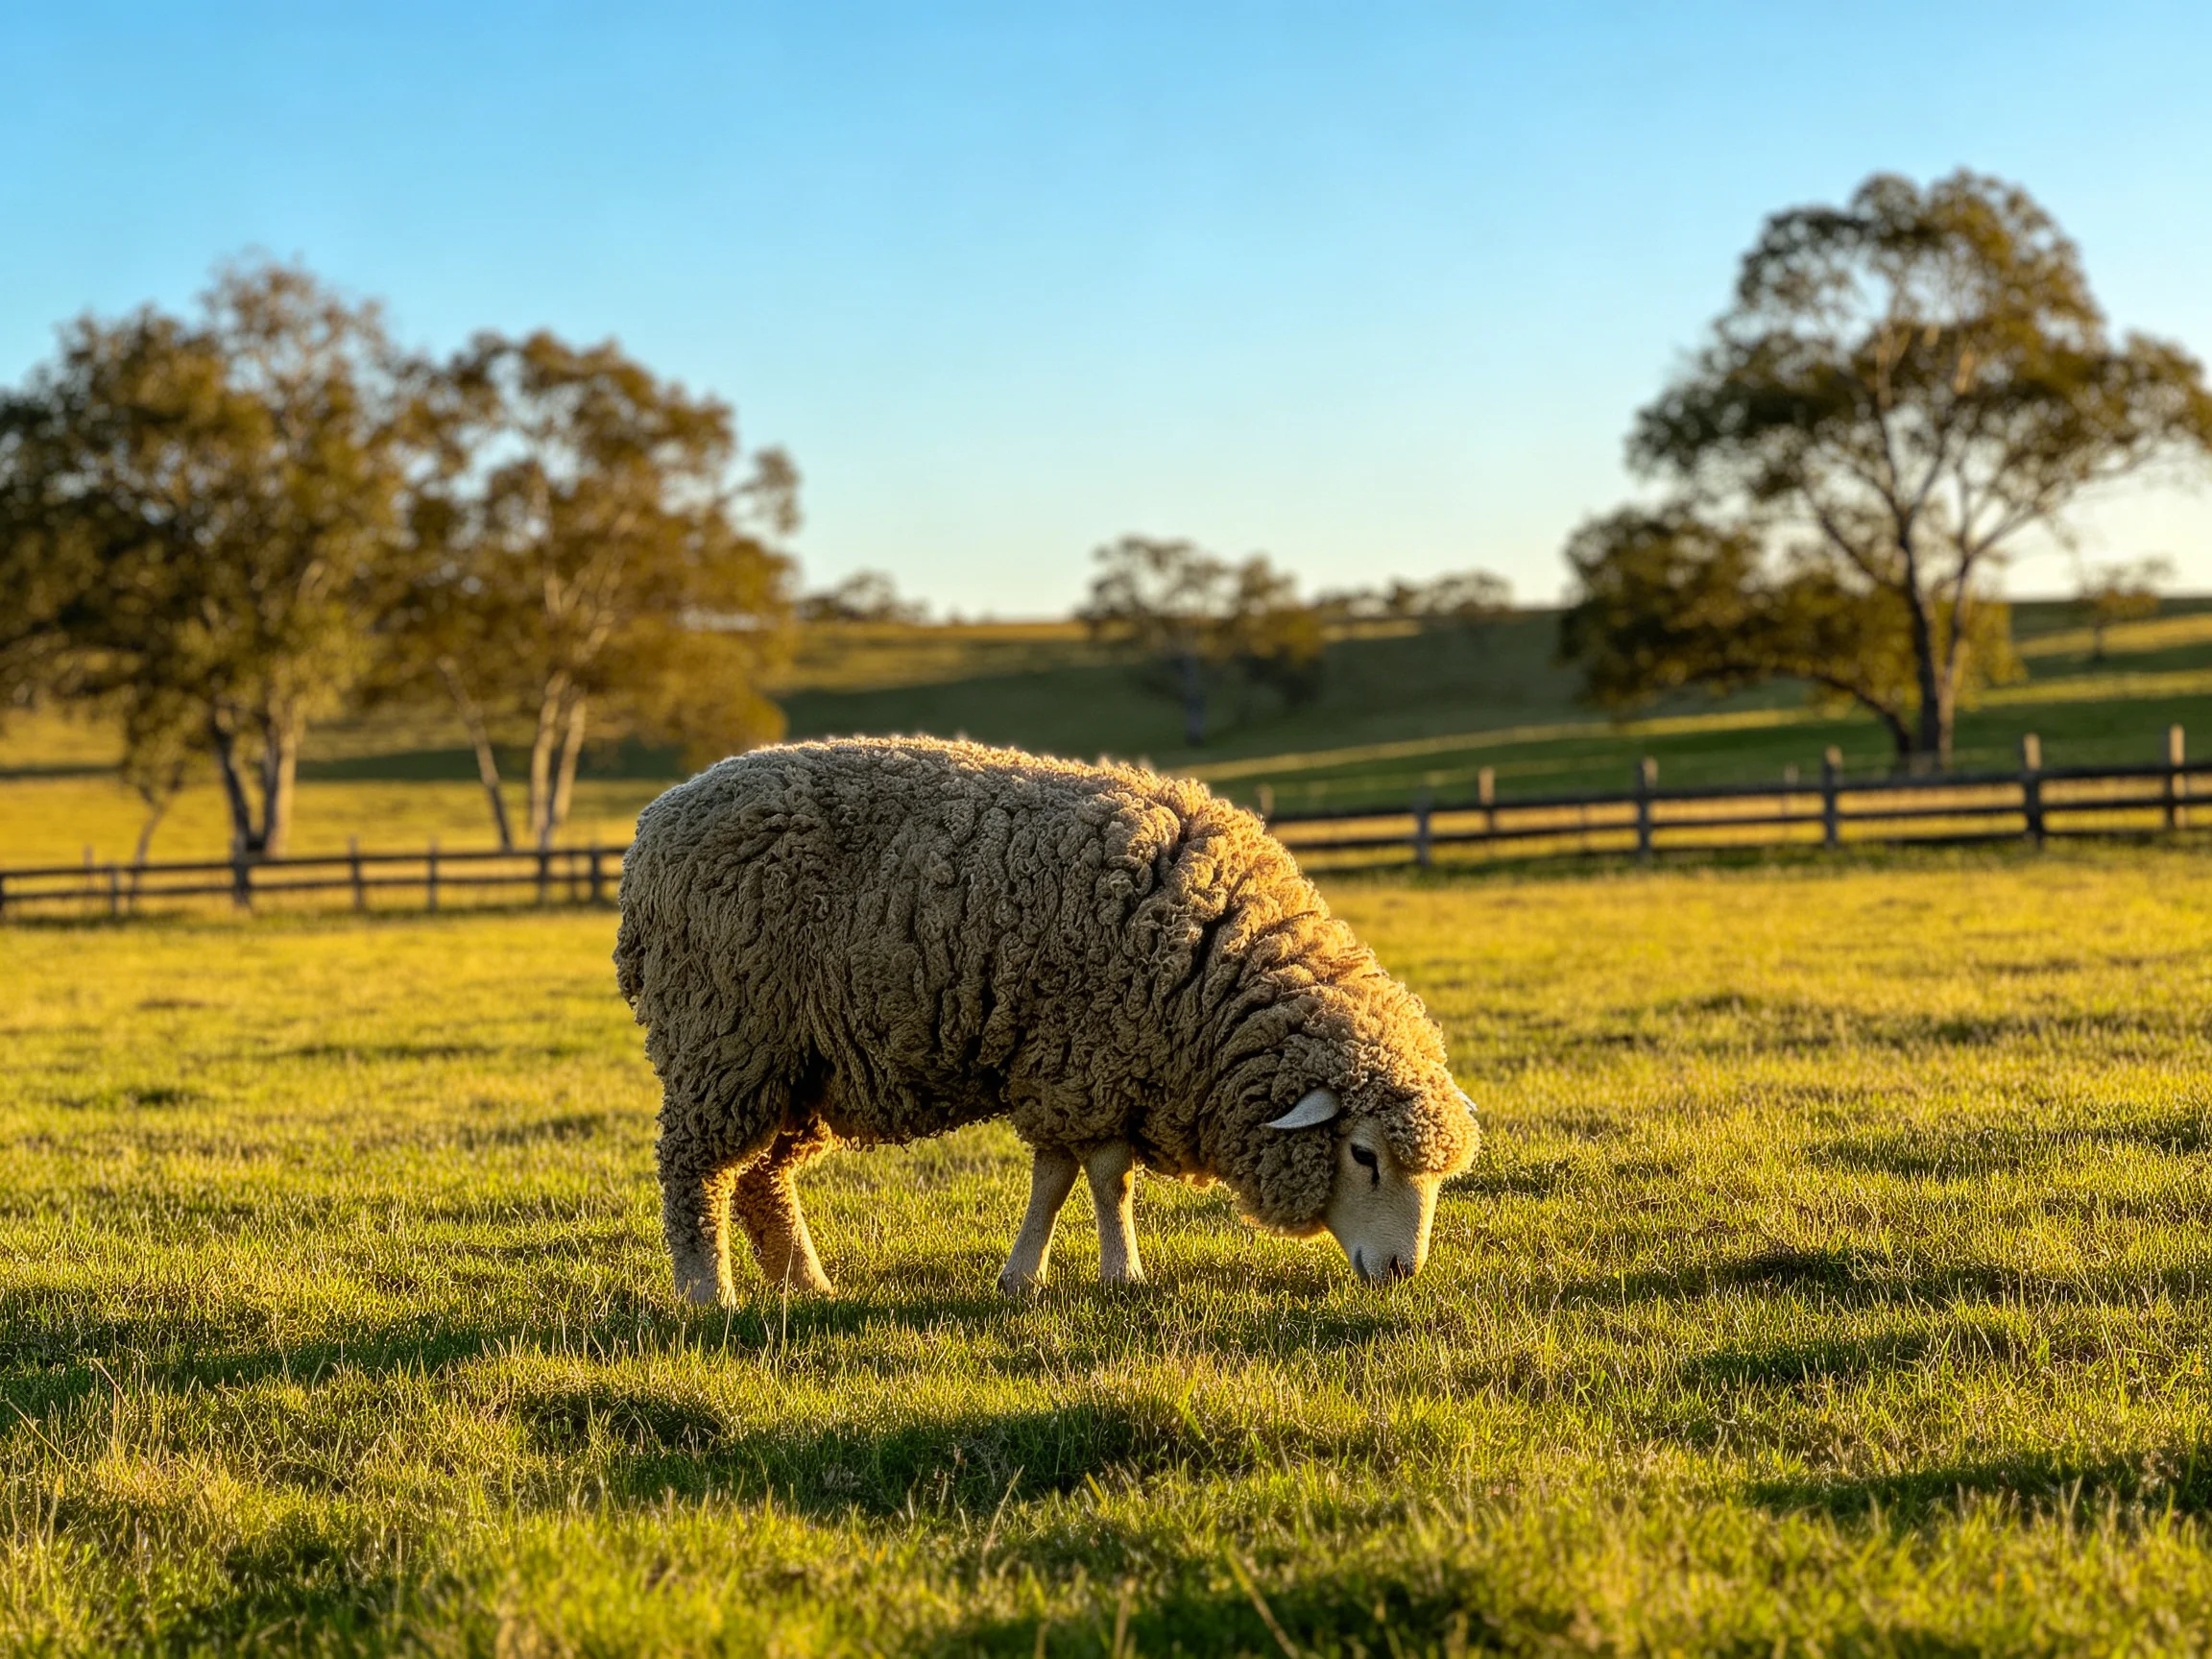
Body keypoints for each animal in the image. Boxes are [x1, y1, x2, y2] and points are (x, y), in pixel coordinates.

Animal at [614, 736, 1478, 1303]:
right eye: (1363, 1155)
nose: (1403, 1272)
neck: (1214, 957)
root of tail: (654, 825)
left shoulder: (1078, 1065)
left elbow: (1061, 1178)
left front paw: (1023, 1276)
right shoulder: (1084, 1058)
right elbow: (1104, 1180)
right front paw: (1118, 1274)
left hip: (797, 1063)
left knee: (762, 1178)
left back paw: (808, 1285)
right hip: (724, 1037)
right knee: (696, 1169)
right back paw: (708, 1294)